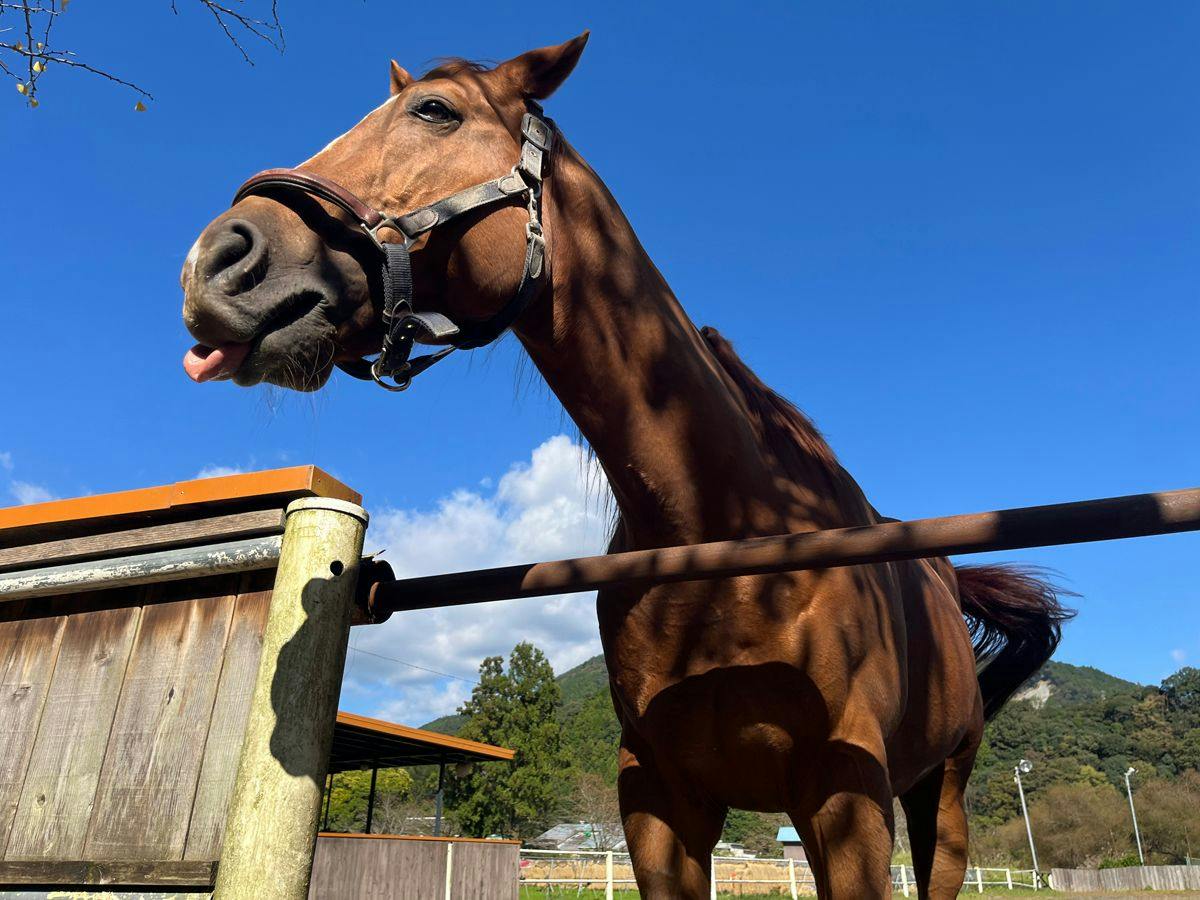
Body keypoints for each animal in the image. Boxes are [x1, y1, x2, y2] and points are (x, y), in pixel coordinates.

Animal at [179, 35, 1071, 898]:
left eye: (436, 111)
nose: (217, 262)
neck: (726, 534)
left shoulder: (846, 796)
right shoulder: (658, 801)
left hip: (939, 797)